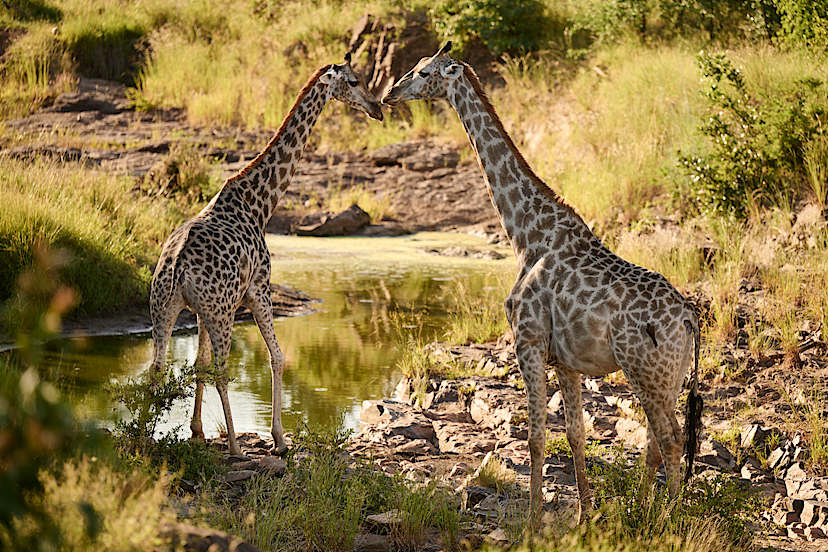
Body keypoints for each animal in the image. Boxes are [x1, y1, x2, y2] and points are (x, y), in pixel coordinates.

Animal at [149, 54, 383, 456]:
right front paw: (279, 439)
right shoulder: (259, 288)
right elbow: (278, 356)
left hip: (165, 308)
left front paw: (196, 431)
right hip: (222, 312)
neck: (260, 203)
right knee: (223, 371)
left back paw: (144, 434)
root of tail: (177, 266)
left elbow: (197, 363)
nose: (377, 108)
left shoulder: (198, 312)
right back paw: (234, 447)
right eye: (354, 81)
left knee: (157, 368)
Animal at [383, 43, 703, 528]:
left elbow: (534, 437)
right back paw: (645, 512)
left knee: (668, 439)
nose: (389, 94)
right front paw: (585, 516)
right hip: (669, 375)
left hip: (644, 371)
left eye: (422, 72)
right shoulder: (566, 361)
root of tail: (687, 317)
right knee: (661, 440)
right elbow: (575, 435)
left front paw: (534, 521)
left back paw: (667, 521)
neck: (526, 235)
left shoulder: (528, 341)